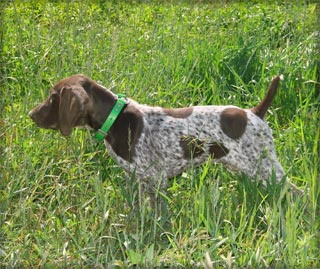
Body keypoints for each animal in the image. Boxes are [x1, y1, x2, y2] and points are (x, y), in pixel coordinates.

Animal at [29, 74, 292, 208]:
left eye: (52, 98)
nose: (31, 114)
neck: (115, 119)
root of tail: (255, 113)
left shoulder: (156, 180)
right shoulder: (135, 178)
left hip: (268, 170)